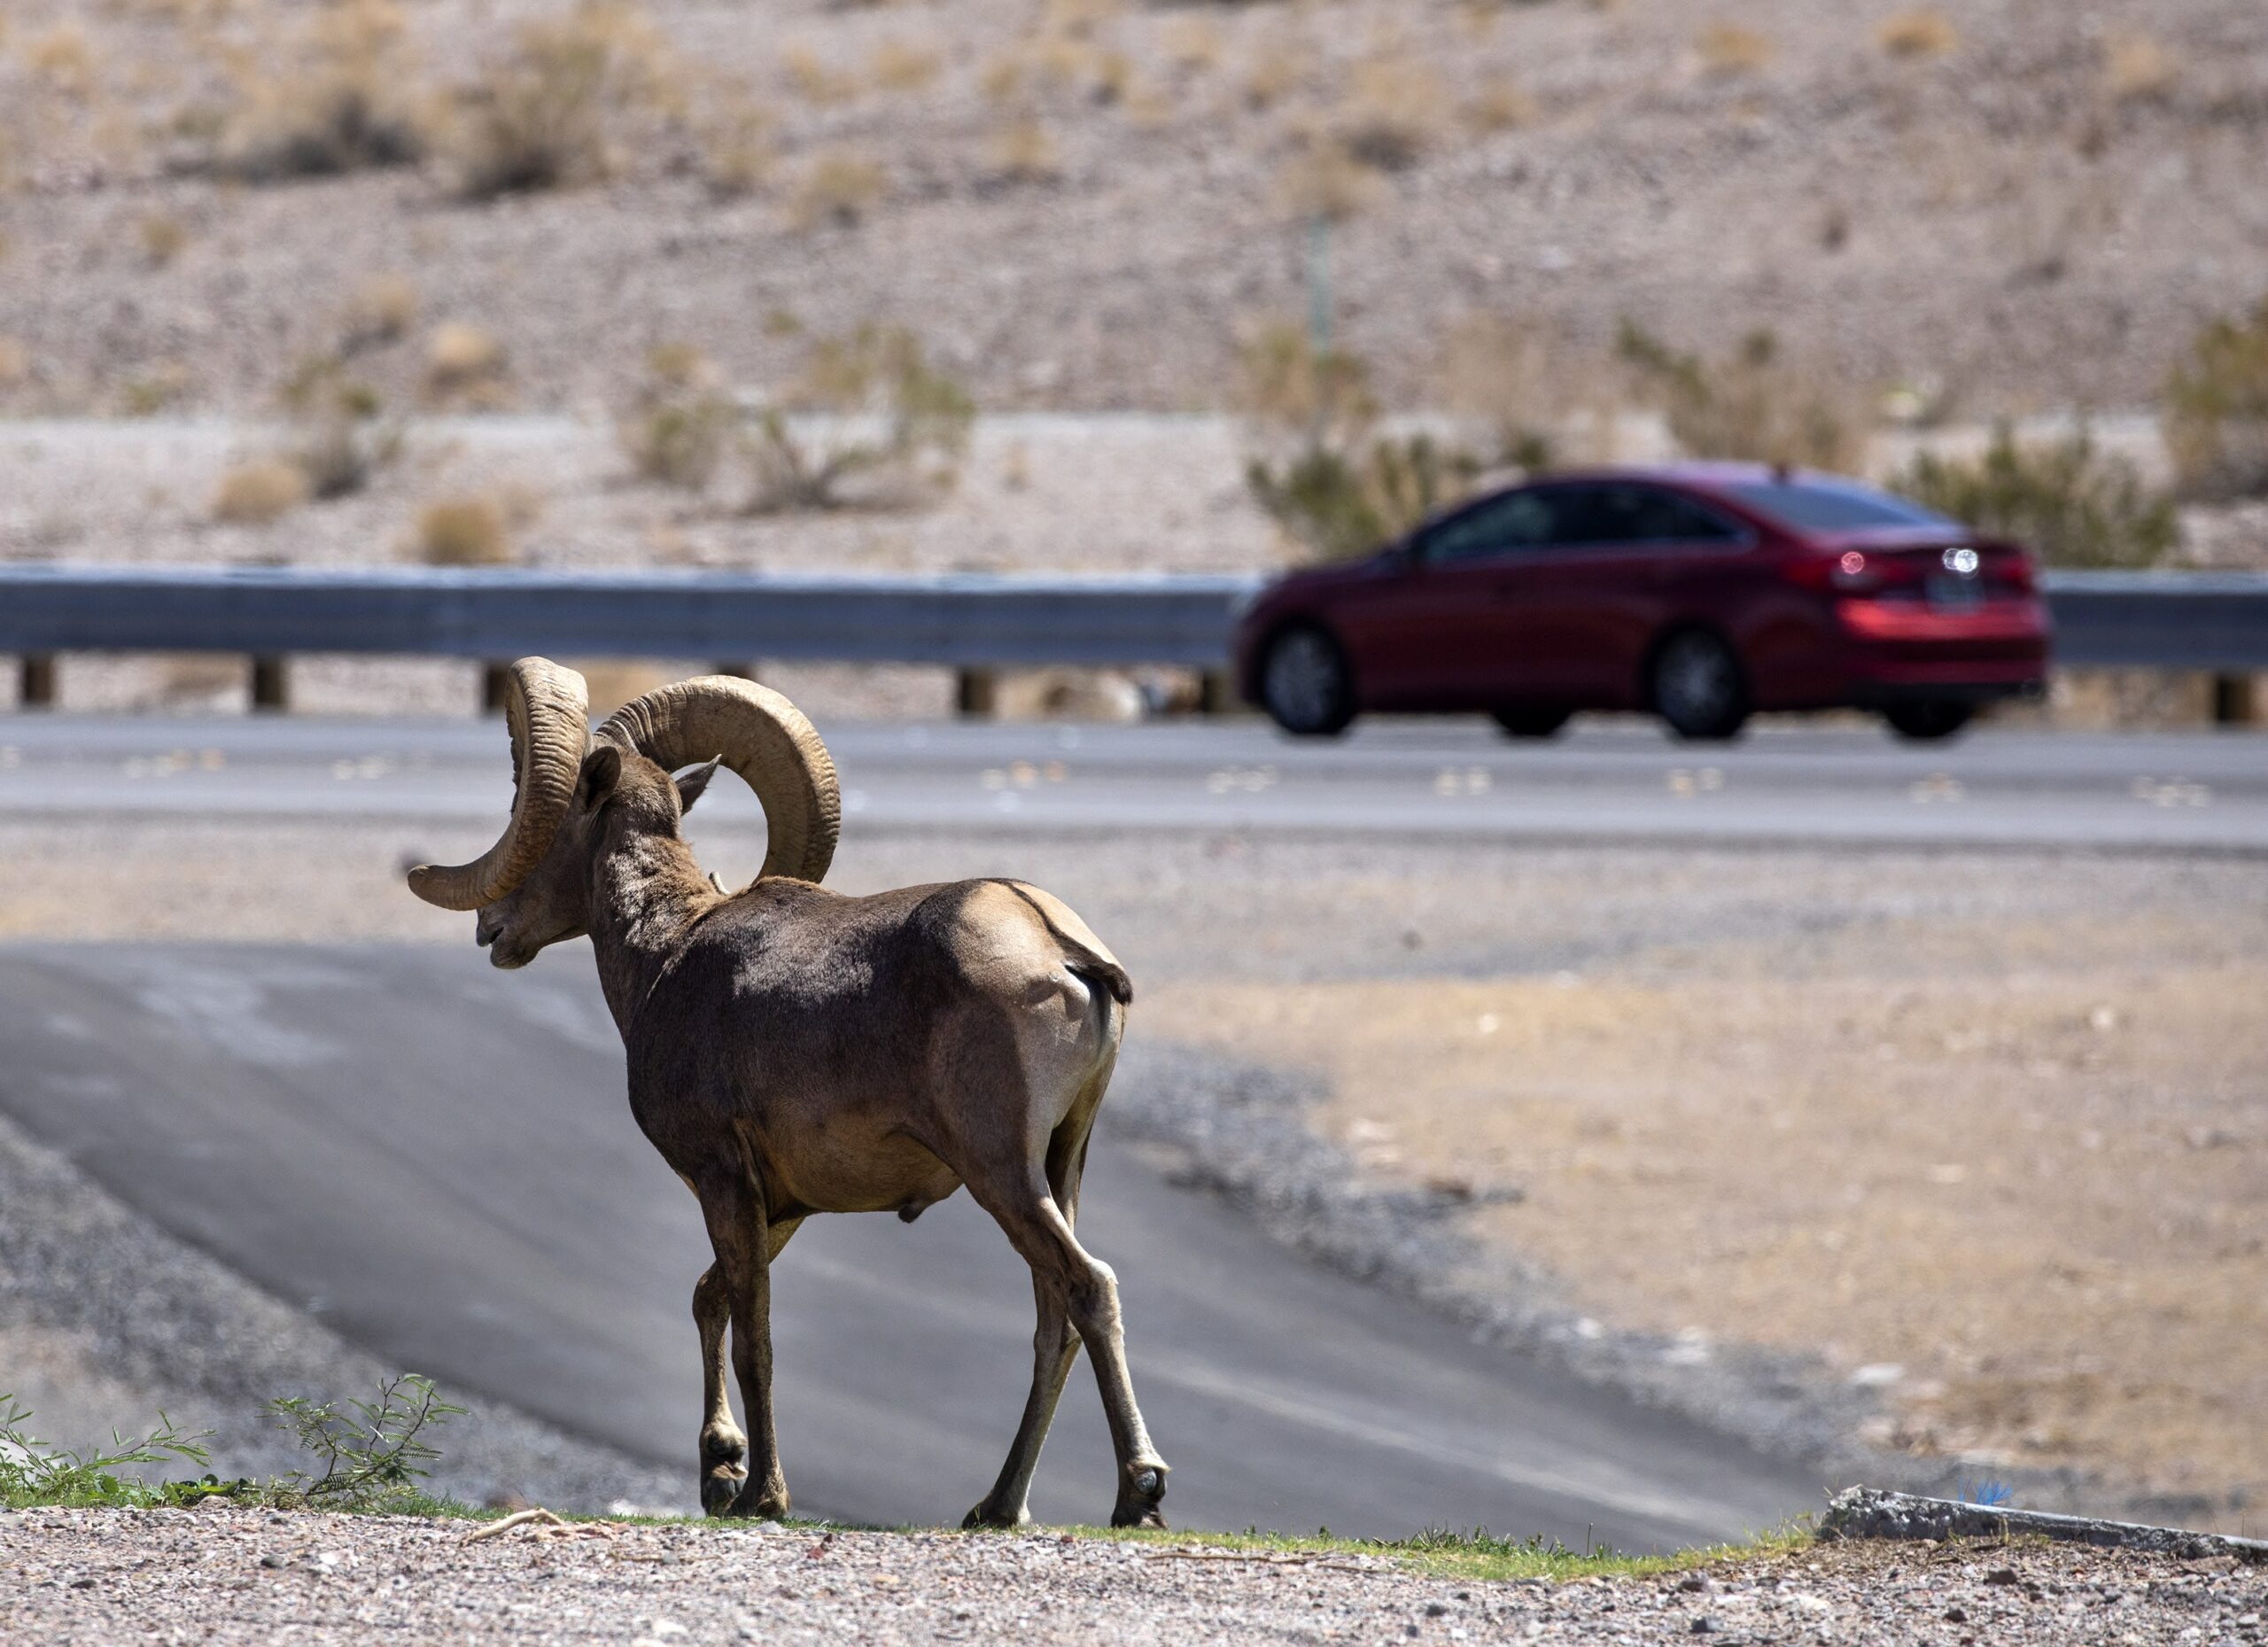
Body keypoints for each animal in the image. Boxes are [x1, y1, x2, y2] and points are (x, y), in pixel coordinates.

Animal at [406, 662, 1169, 1533]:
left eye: (537, 812)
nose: (491, 929)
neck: (666, 954)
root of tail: (1061, 947)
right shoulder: (786, 1203)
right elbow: (710, 1300)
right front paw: (720, 1469)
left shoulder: (725, 1180)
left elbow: (754, 1338)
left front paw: (758, 1494)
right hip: (1063, 1165)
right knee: (1053, 1322)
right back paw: (997, 1505)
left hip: (1002, 1174)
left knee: (1087, 1287)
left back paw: (1138, 1492)